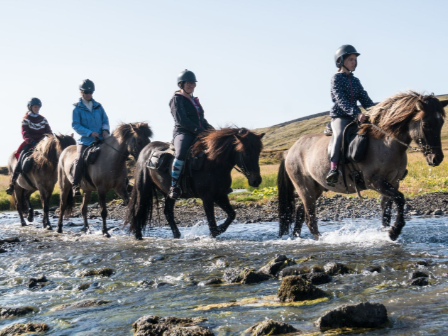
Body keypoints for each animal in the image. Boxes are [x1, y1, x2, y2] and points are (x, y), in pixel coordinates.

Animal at [126, 127, 264, 240]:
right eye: (246, 152)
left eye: (258, 152)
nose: (256, 180)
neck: (214, 163)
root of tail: (146, 150)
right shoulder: (207, 197)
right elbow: (212, 222)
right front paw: (214, 233)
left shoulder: (220, 195)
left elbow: (232, 214)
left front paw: (220, 229)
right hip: (143, 188)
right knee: (138, 208)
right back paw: (138, 236)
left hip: (168, 193)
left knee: (168, 212)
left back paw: (177, 235)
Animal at [278, 90, 446, 240]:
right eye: (425, 124)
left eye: (441, 123)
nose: (436, 158)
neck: (387, 143)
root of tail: (289, 151)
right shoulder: (375, 182)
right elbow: (400, 199)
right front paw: (394, 232)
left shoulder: (393, 183)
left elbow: (387, 210)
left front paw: (386, 233)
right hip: (305, 188)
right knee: (310, 219)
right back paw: (323, 240)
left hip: (316, 188)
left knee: (300, 212)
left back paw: (297, 237)